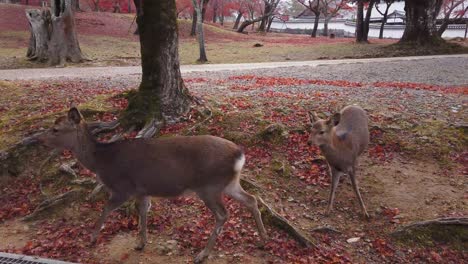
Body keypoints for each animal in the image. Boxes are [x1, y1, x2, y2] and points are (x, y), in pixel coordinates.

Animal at [37, 106, 266, 262]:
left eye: (55, 129)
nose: (40, 140)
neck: (102, 162)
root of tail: (239, 154)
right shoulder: (143, 189)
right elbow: (143, 211)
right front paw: (141, 243)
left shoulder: (122, 187)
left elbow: (106, 209)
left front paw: (92, 238)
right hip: (228, 183)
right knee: (252, 199)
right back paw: (262, 239)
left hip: (209, 186)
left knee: (223, 214)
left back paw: (202, 254)